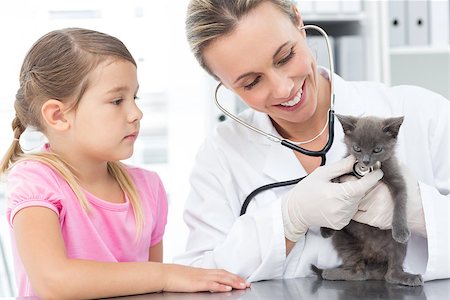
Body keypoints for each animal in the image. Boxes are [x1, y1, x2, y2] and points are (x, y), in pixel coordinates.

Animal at [312, 114, 424, 286]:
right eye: (357, 148)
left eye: (377, 149)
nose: (365, 161)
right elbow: (332, 182)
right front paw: (325, 227)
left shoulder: (397, 179)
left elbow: (401, 200)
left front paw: (400, 229)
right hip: (344, 238)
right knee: (358, 272)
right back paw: (330, 273)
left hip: (398, 246)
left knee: (390, 273)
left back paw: (406, 277)